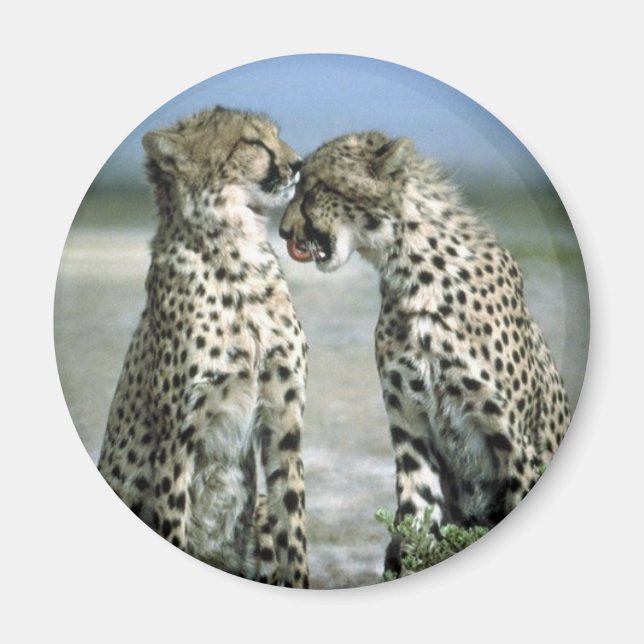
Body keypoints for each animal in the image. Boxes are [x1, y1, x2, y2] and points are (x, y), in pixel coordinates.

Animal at [98, 106, 309, 588]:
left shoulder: (284, 424)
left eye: (275, 136)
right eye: (253, 142)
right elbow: (174, 522)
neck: (236, 252)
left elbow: (294, 535)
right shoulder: (177, 438)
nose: (298, 164)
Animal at [279, 131, 570, 577]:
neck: (411, 272)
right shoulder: (413, 431)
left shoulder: (518, 449)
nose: (281, 231)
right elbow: (415, 521)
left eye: (315, 188)